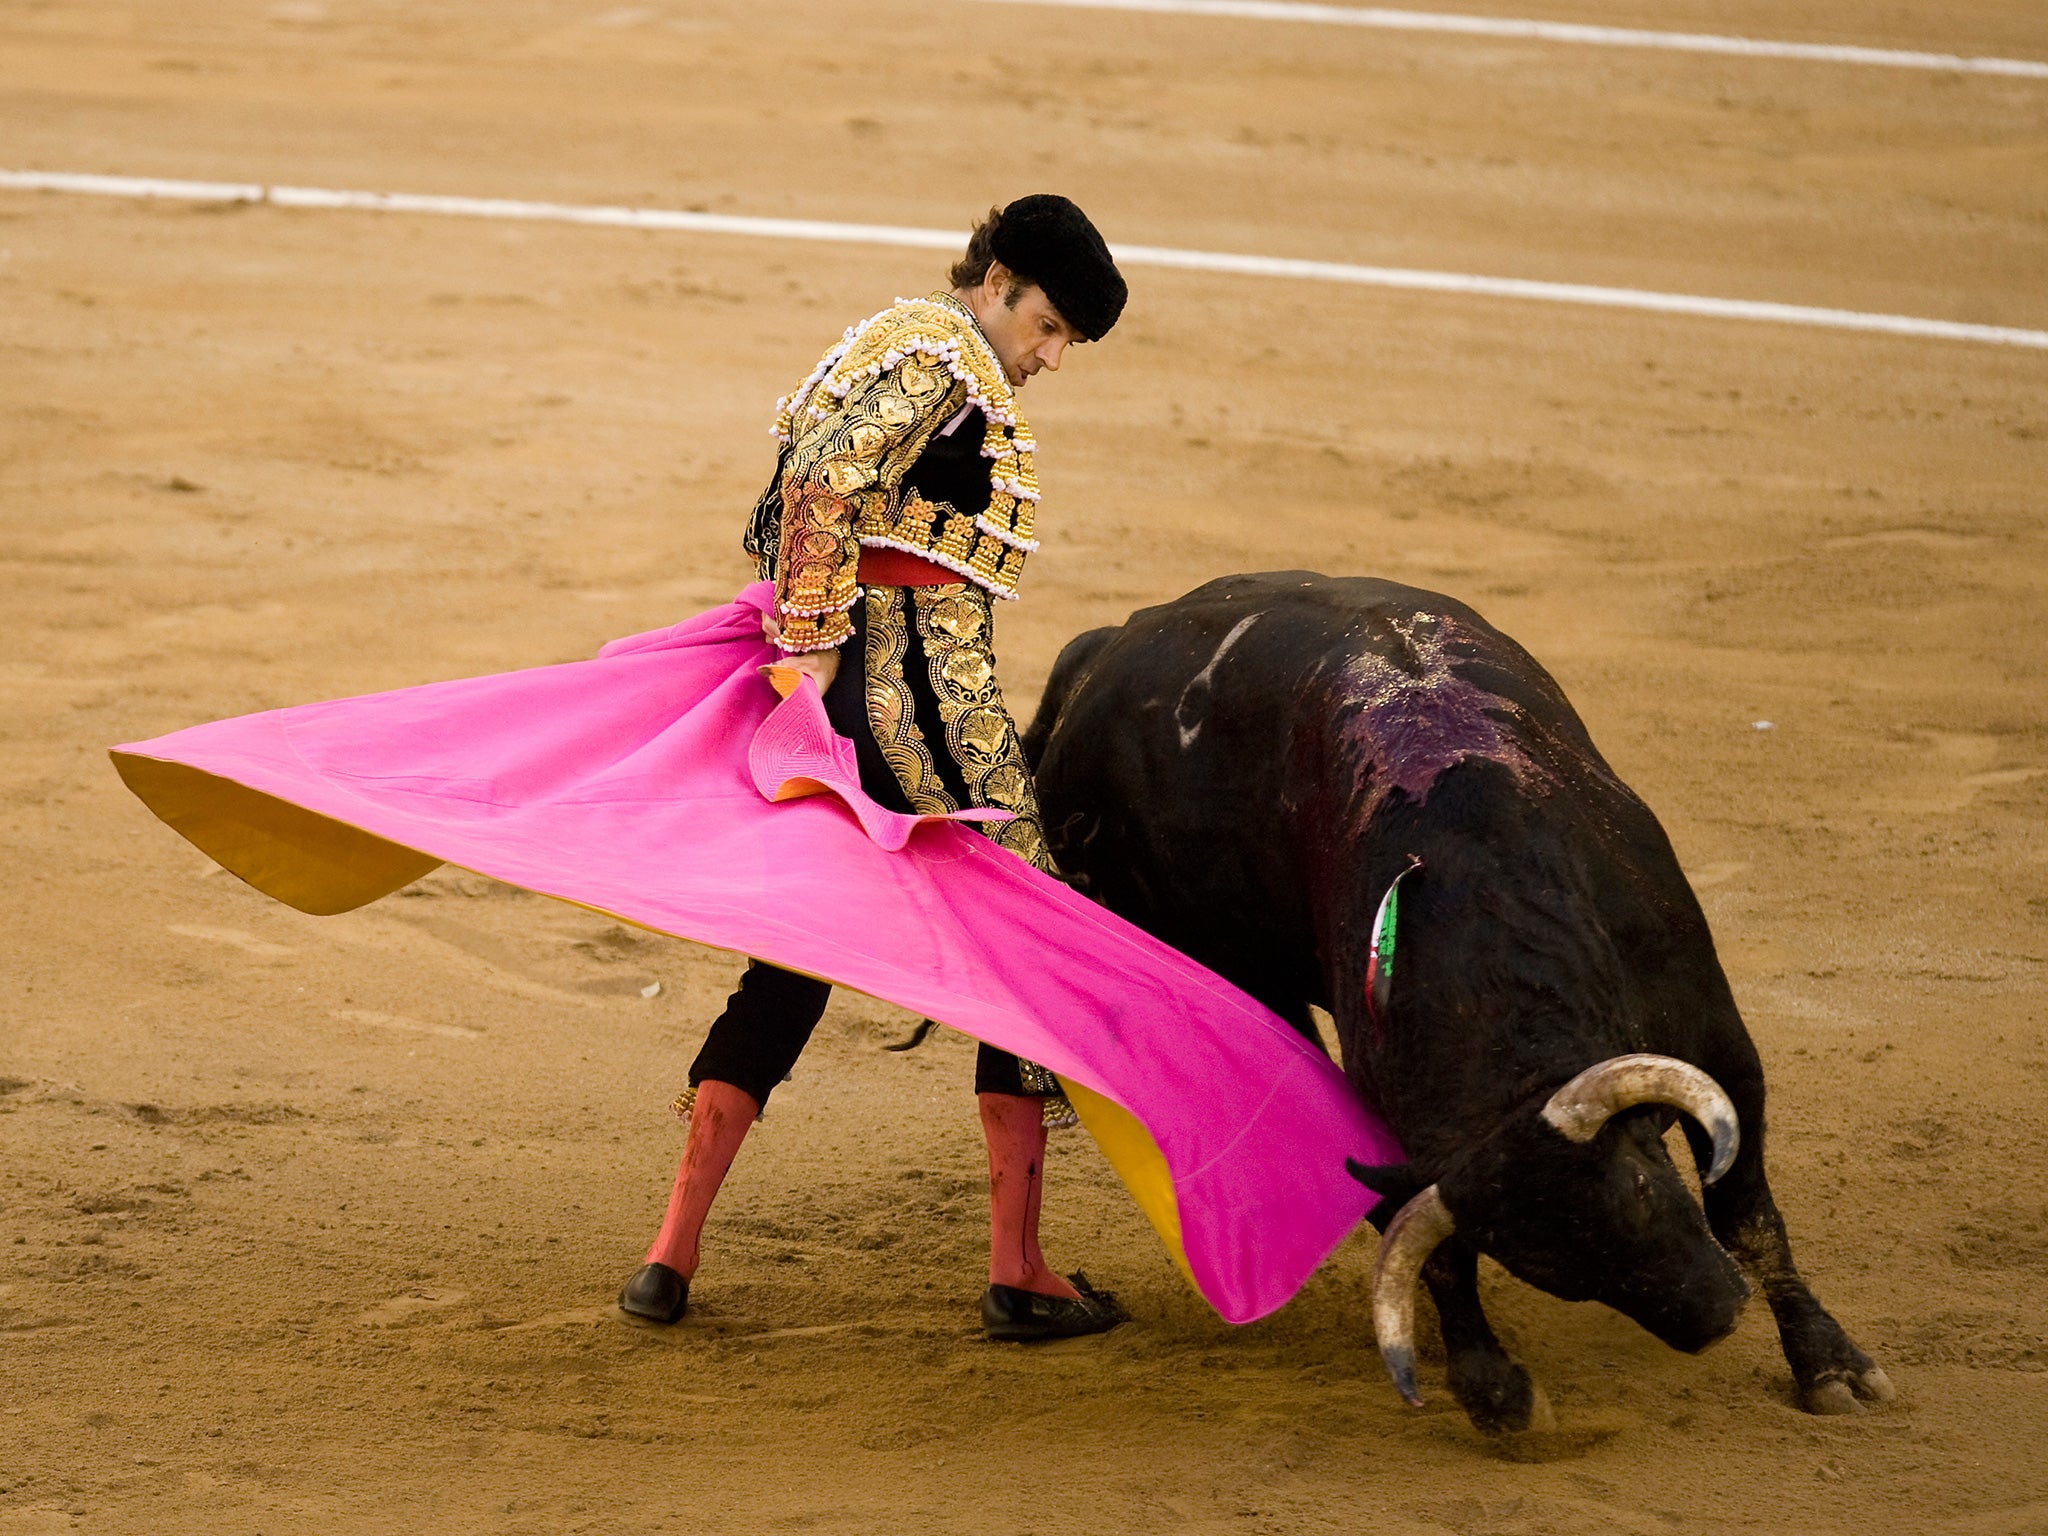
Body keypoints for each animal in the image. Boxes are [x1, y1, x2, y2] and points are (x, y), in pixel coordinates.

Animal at [1015, 573, 1892, 1441]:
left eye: (1644, 1191)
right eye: (1552, 1269)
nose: (1715, 1319)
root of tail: (1109, 646)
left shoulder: (1714, 1036)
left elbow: (1747, 1212)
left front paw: (1832, 1367)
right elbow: (1430, 1242)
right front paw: (1496, 1391)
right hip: (1237, 973)